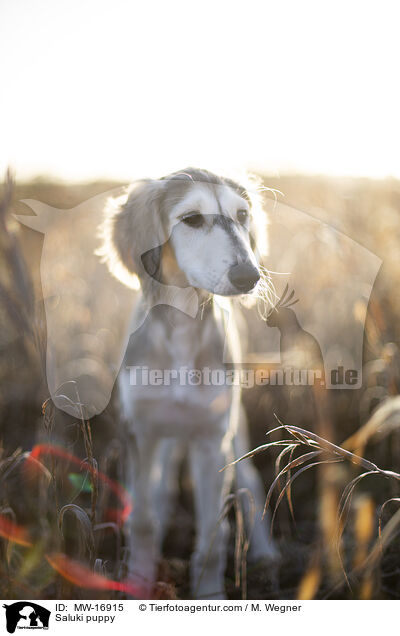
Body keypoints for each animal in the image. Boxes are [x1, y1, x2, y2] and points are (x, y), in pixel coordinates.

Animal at [98, 166, 276, 600]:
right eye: (192, 219)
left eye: (242, 215)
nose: (249, 276)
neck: (180, 330)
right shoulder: (140, 433)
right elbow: (142, 519)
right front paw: (138, 582)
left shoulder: (213, 440)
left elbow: (214, 532)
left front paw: (210, 594)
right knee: (160, 491)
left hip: (235, 430)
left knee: (250, 483)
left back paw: (266, 553)